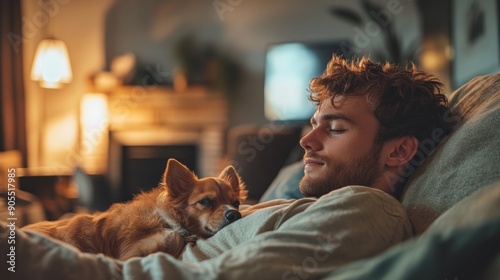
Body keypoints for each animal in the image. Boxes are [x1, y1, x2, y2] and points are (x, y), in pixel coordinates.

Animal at [22, 160, 247, 260]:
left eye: (235, 203)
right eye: (206, 201)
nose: (235, 214)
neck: (166, 220)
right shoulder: (129, 254)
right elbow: (173, 237)